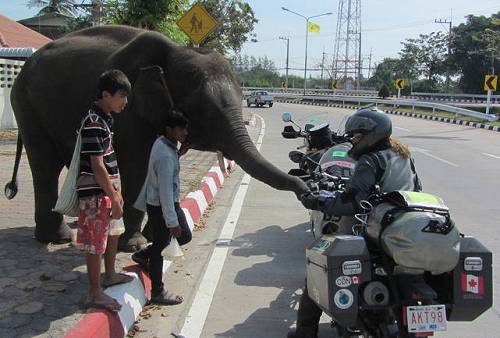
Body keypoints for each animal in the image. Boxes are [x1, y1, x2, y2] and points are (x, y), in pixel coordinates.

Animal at [5, 24, 306, 251]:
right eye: (199, 109)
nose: (306, 189)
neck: (176, 51)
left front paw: (157, 234)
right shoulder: (130, 112)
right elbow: (137, 168)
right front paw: (136, 245)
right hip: (26, 104)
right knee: (45, 166)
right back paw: (59, 238)